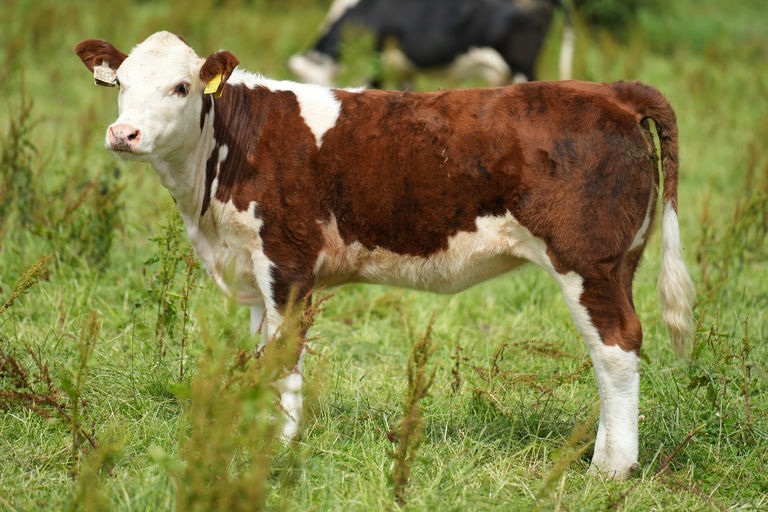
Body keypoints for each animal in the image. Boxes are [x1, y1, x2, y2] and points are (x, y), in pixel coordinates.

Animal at [75, 31, 694, 480]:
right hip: (620, 262)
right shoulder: (252, 267)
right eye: (121, 83)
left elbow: (284, 357)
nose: (123, 133)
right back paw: (603, 454)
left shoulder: (288, 261)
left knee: (616, 347)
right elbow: (261, 353)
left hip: (587, 259)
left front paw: (281, 448)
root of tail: (610, 90)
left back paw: (611, 469)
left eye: (181, 87)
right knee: (610, 348)